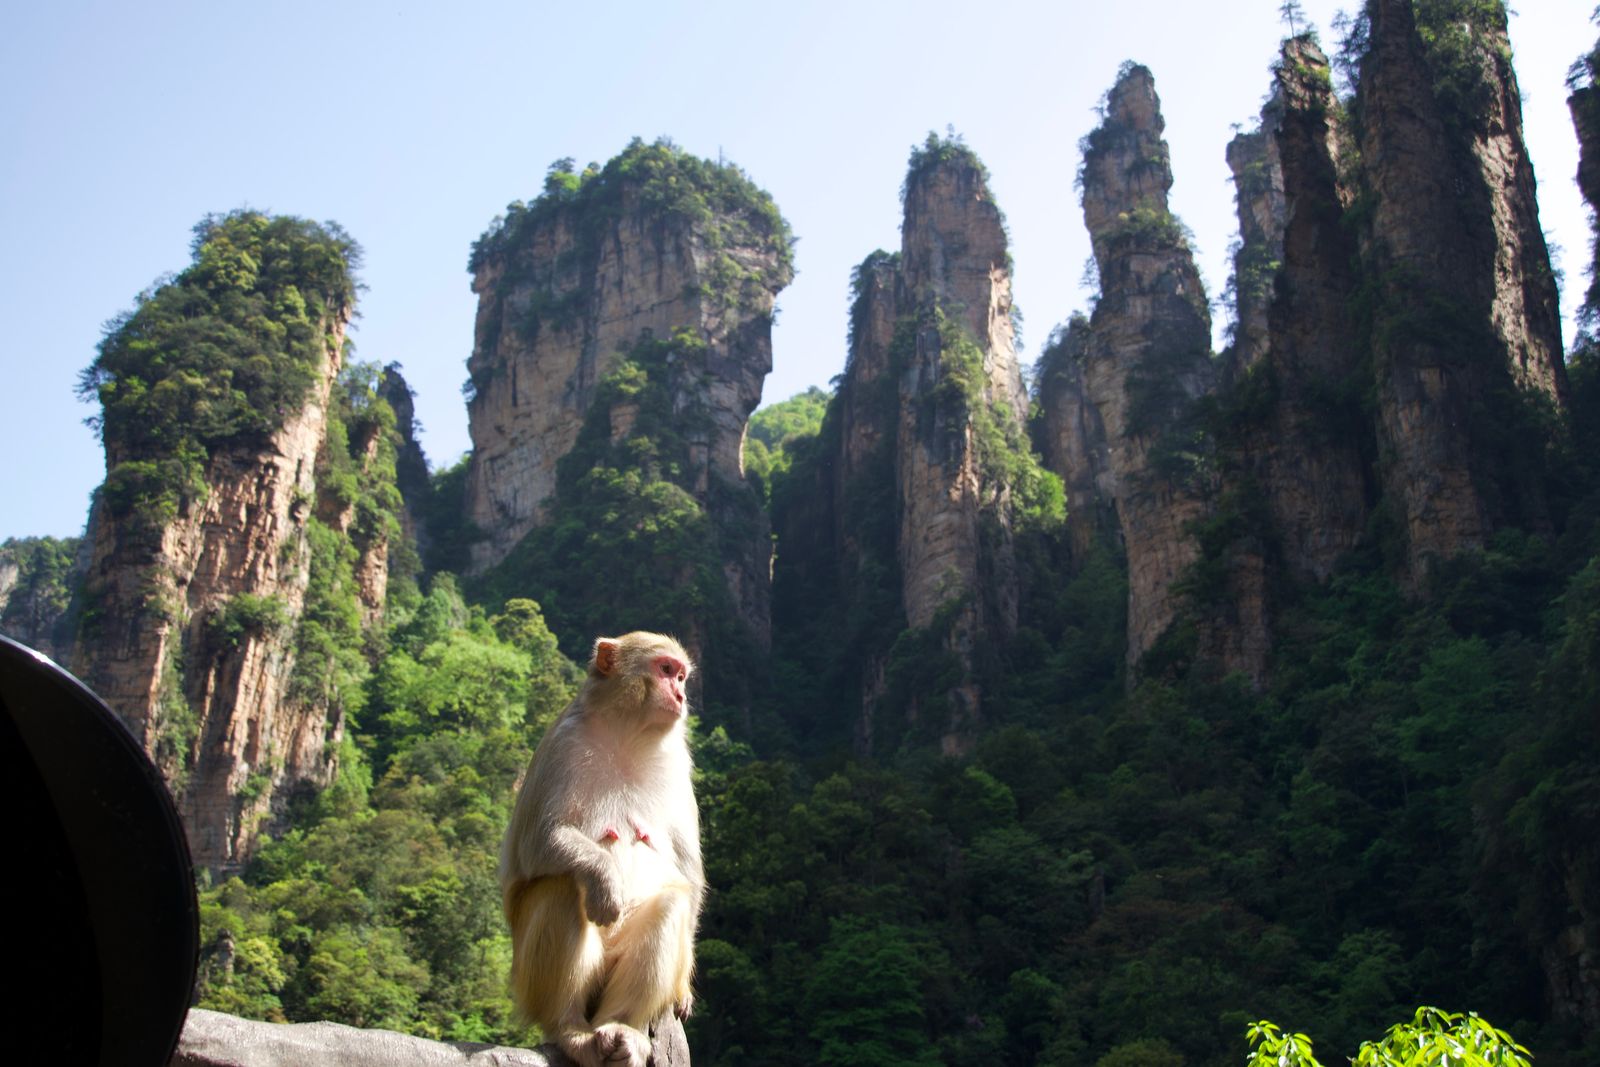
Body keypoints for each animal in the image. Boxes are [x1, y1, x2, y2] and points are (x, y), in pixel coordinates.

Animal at [500, 632, 703, 1067]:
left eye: (681, 676)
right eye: (666, 670)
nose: (680, 695)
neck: (626, 733)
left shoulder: (678, 763)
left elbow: (686, 872)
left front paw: (682, 990)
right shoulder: (564, 743)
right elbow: (538, 840)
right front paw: (604, 878)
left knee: (670, 903)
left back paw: (622, 1027)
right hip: (525, 978)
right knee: (562, 887)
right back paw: (571, 1030)